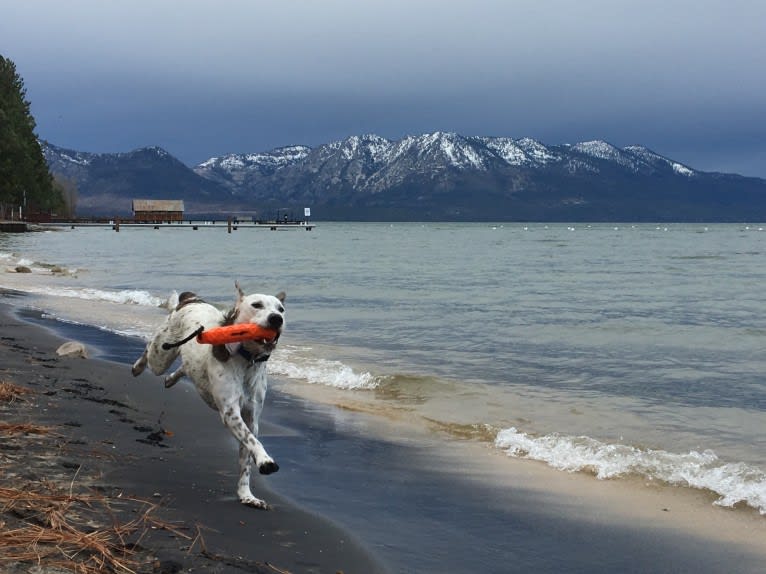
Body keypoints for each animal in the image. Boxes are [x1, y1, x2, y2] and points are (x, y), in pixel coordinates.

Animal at [132, 284, 288, 508]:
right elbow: (253, 441)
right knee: (149, 351)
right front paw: (266, 461)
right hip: (161, 355)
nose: (277, 319)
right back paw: (137, 367)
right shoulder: (230, 412)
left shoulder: (251, 417)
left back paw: (171, 379)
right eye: (257, 305)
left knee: (186, 367)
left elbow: (246, 455)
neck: (247, 360)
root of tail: (192, 300)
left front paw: (247, 495)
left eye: (281, 309)